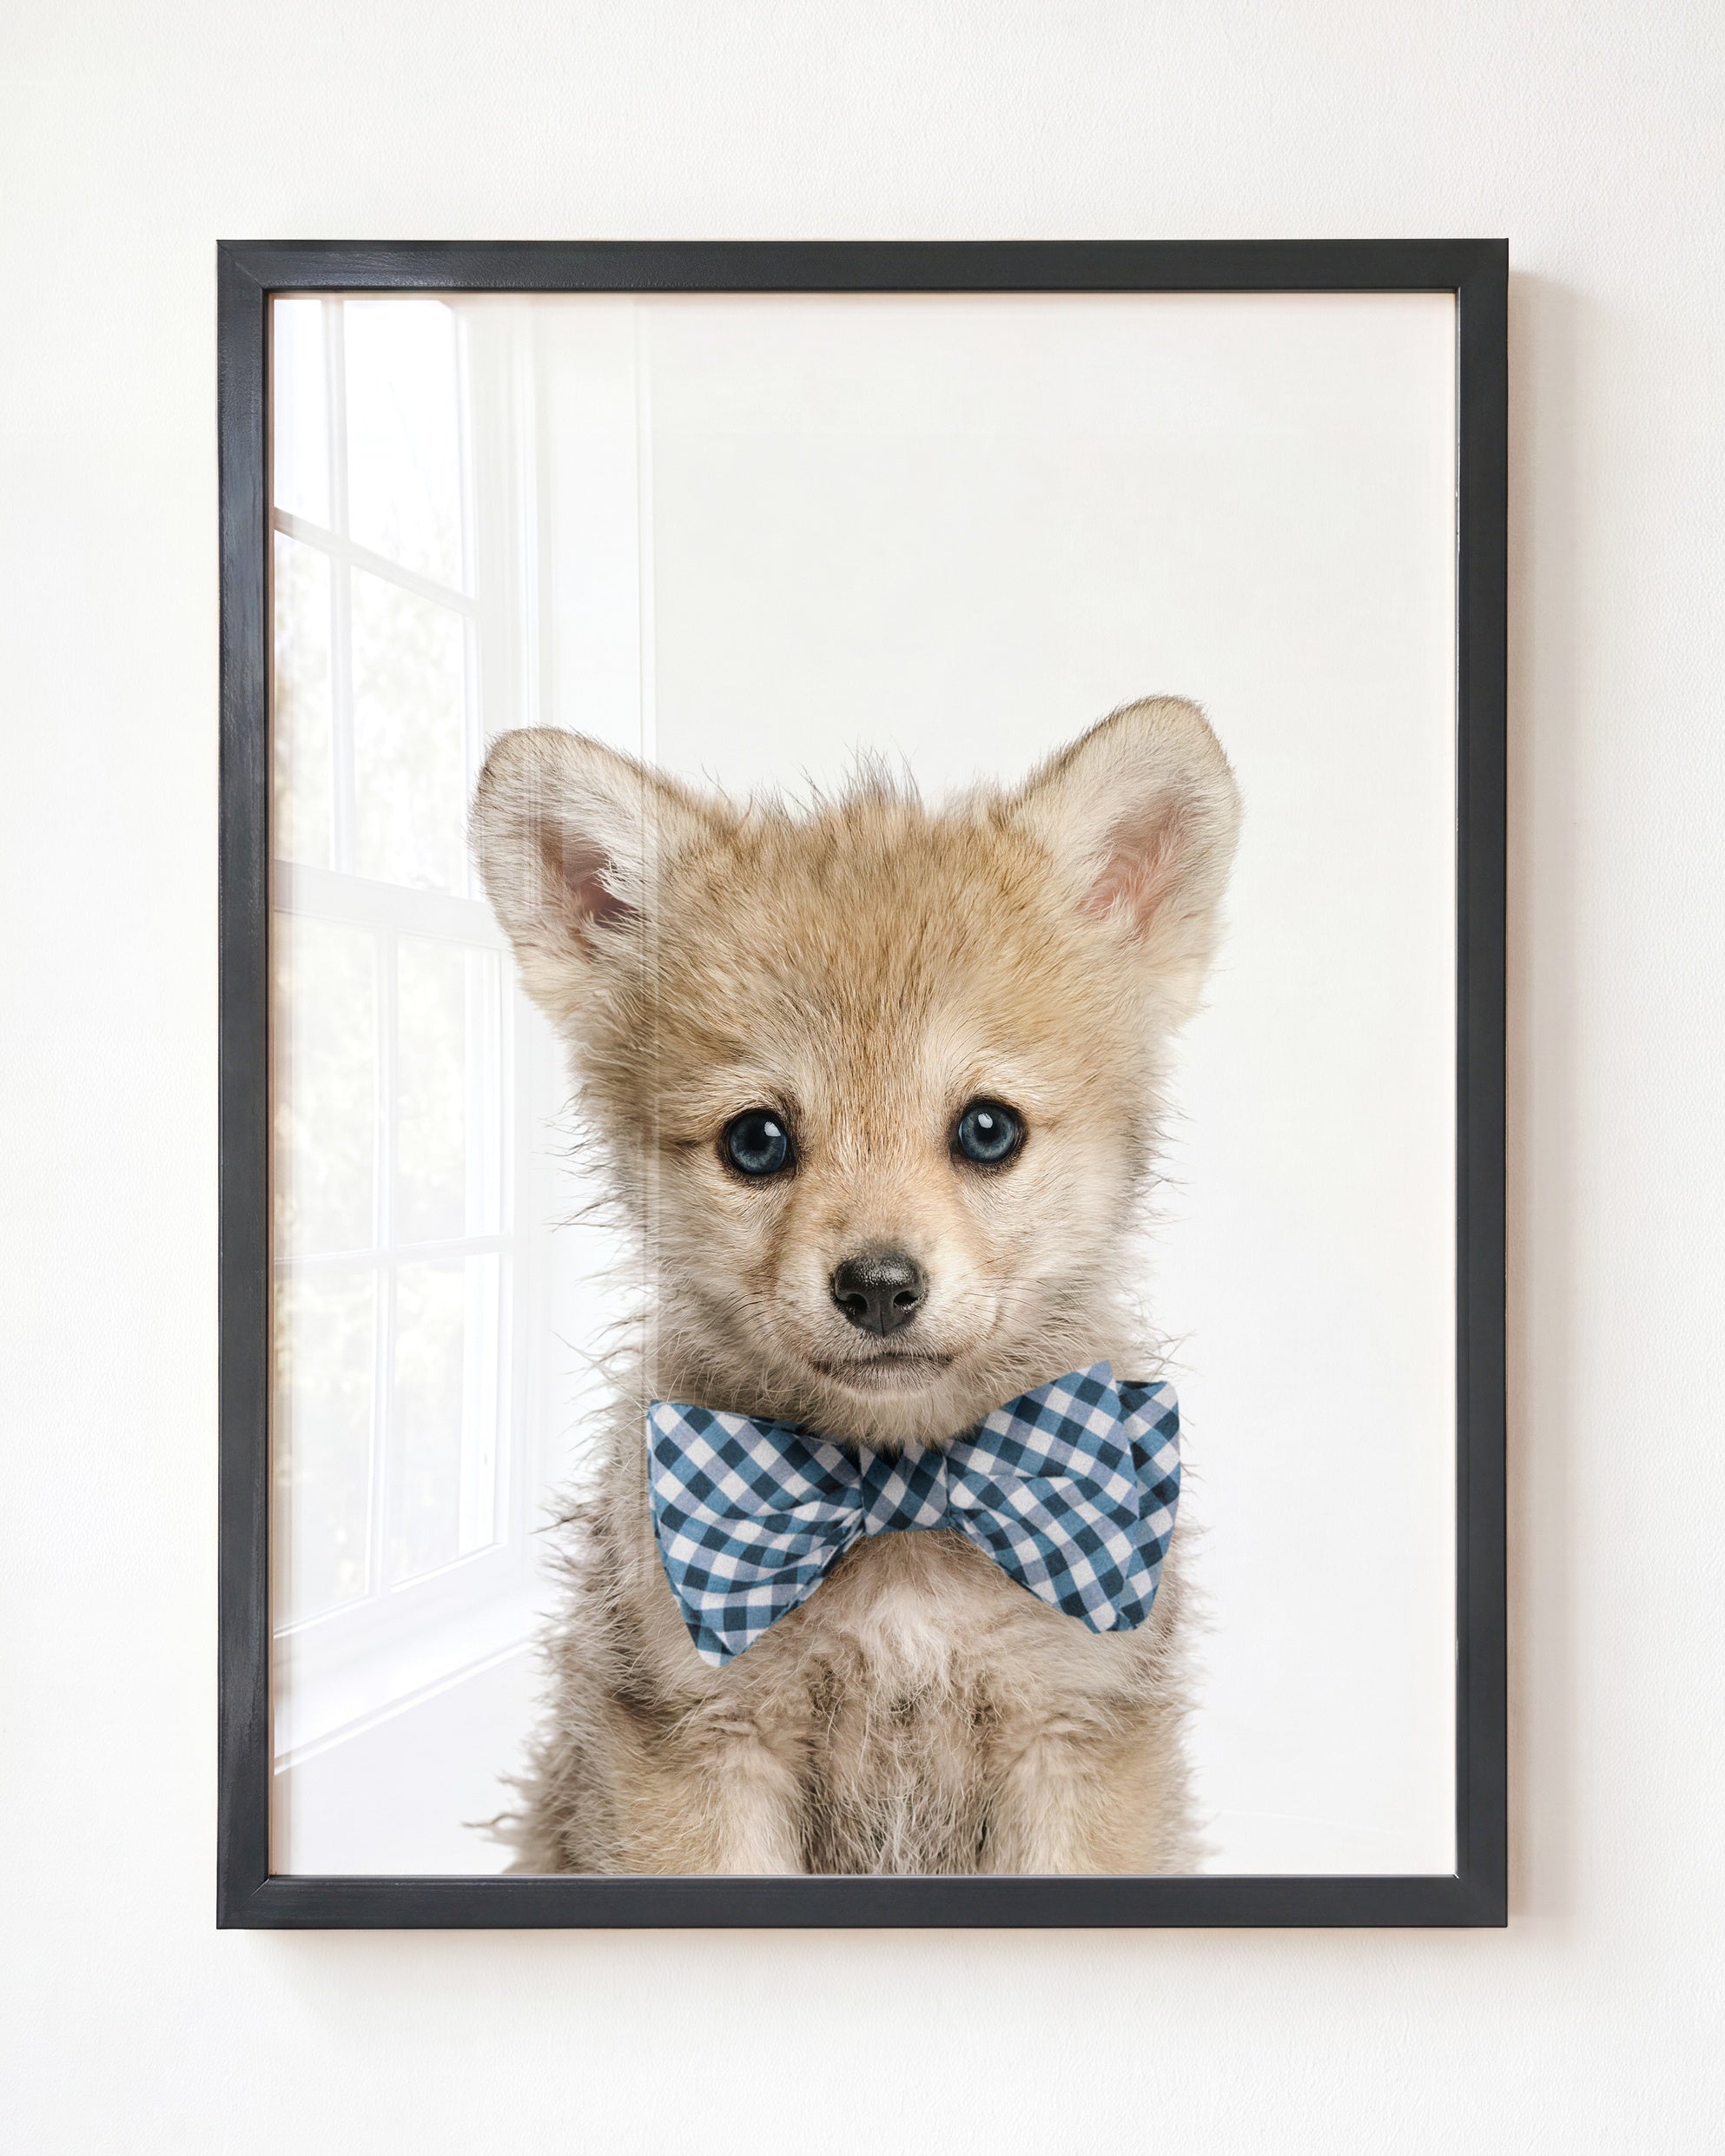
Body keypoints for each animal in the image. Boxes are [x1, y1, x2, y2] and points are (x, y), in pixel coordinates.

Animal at [471, 697, 1240, 1873]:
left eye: (987, 1129)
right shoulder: (704, 1741)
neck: (902, 1505)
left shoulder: (1073, 1734)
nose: (879, 1286)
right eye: (756, 1141)